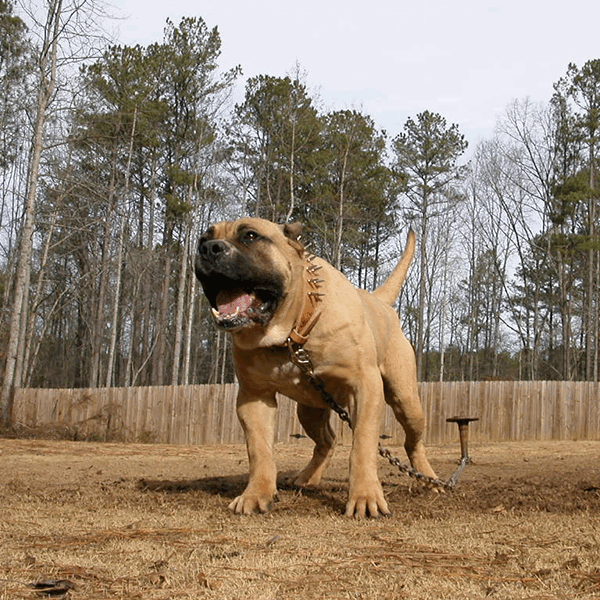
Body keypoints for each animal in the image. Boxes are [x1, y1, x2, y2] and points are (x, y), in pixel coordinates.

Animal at [196, 218, 436, 516]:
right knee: (327, 440)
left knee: (412, 441)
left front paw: (365, 496)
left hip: (406, 400)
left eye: (250, 236)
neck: (292, 333)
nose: (209, 249)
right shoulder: (254, 397)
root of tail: (379, 301)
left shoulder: (365, 387)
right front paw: (256, 494)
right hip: (309, 409)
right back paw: (307, 477)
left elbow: (363, 445)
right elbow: (259, 450)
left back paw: (429, 478)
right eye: (202, 239)